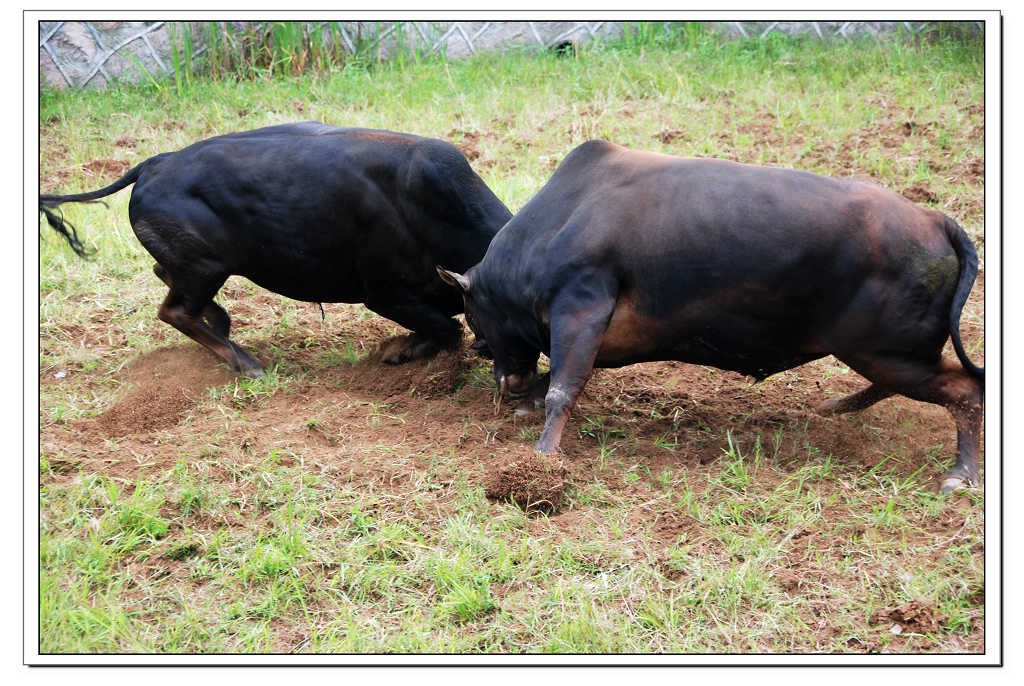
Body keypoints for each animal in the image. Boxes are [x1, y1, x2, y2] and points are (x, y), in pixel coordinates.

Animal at [39, 120, 512, 372]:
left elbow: (444, 327)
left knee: (168, 280)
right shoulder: (386, 295)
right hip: (205, 266)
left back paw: (221, 325)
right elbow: (447, 329)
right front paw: (399, 351)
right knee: (174, 311)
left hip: (203, 266)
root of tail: (154, 164)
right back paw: (244, 361)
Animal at [440, 141, 983, 495]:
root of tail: (935, 220)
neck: (558, 221)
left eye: (475, 319)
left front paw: (542, 456)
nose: (502, 377)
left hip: (886, 350)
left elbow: (563, 388)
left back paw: (961, 474)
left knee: (966, 389)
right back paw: (838, 406)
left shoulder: (582, 305)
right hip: (886, 353)